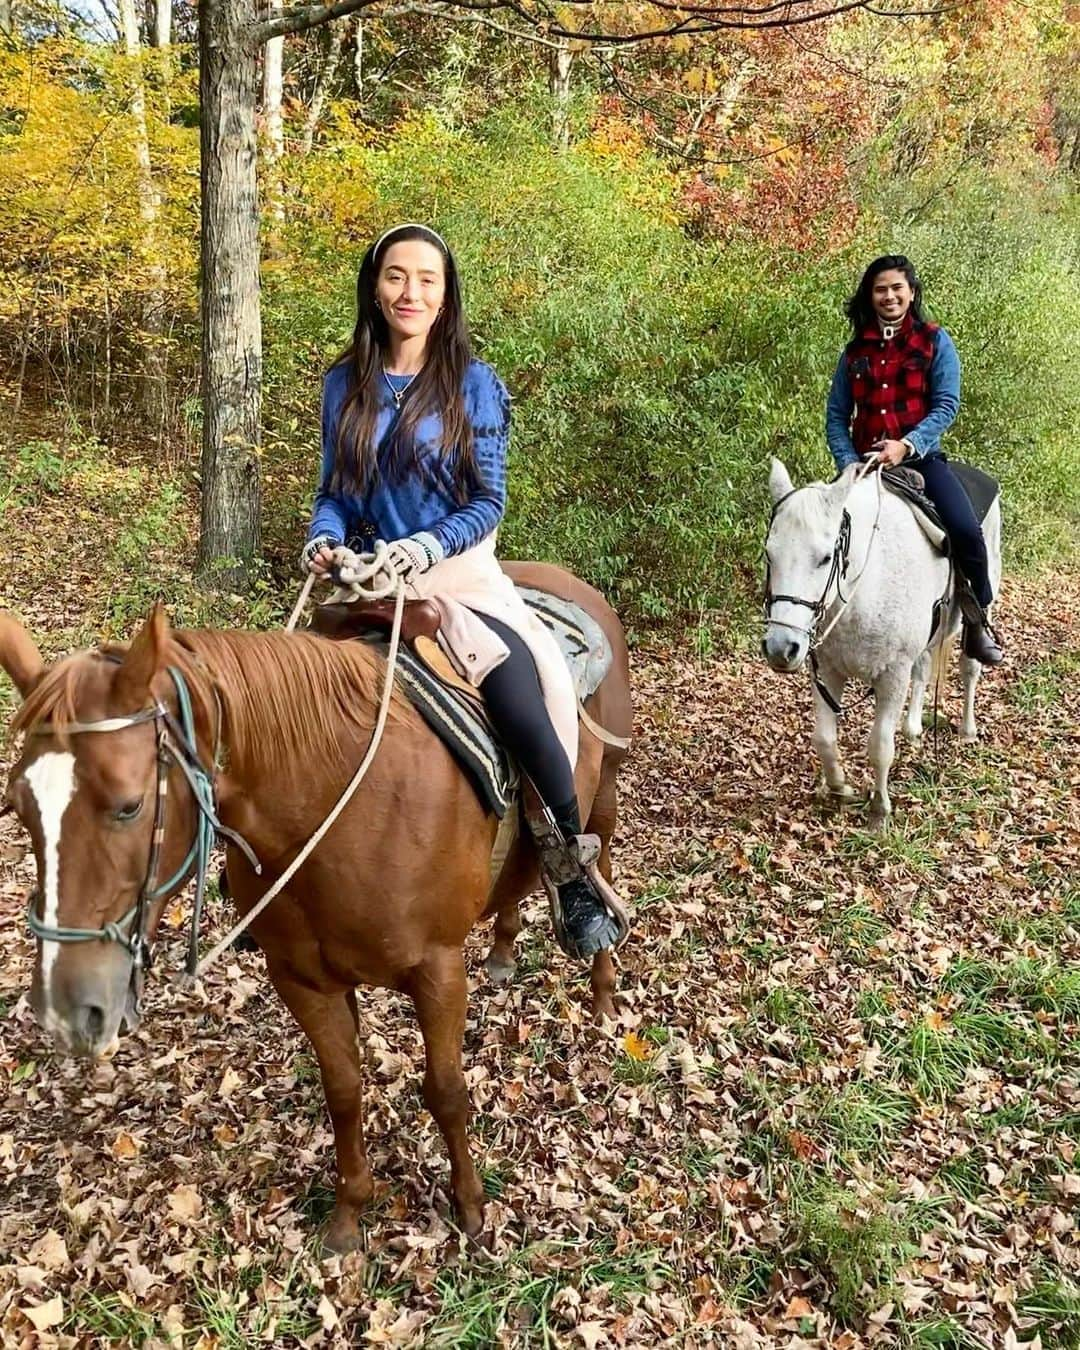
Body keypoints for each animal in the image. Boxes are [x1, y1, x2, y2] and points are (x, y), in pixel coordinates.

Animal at [0, 564, 629, 1247]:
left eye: (129, 805)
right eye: (18, 806)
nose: (67, 1007)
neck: (331, 801)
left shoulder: (436, 970)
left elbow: (445, 1090)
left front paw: (469, 1208)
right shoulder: (303, 979)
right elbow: (343, 1089)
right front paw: (350, 1214)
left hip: (603, 800)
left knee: (595, 865)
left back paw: (601, 990)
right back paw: (504, 951)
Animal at [761, 459, 1004, 826]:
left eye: (825, 558)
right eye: (769, 555)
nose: (780, 648)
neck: (866, 584)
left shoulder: (892, 675)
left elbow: (879, 746)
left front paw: (879, 810)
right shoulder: (828, 671)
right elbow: (824, 738)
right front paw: (839, 790)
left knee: (969, 668)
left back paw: (967, 729)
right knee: (924, 669)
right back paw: (914, 729)